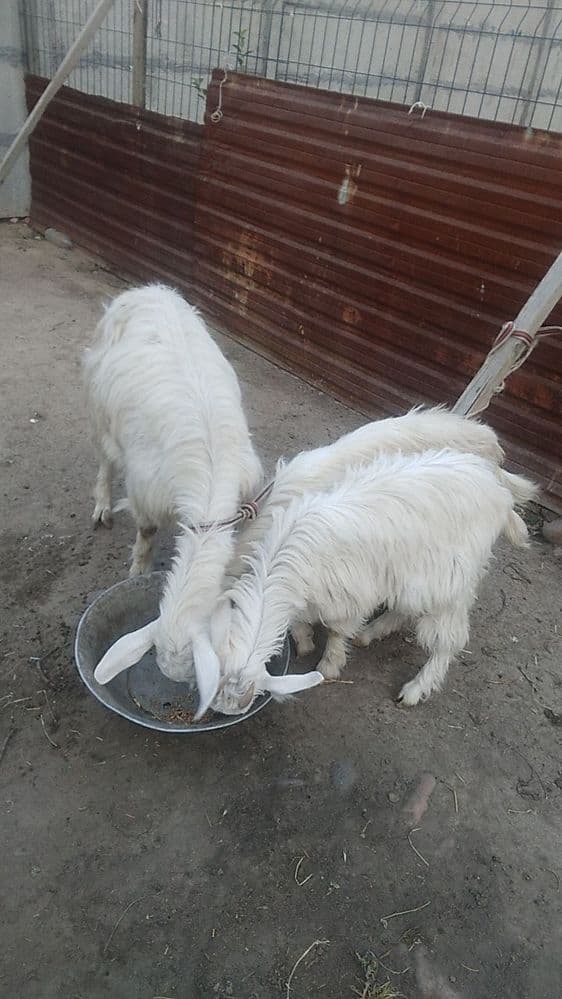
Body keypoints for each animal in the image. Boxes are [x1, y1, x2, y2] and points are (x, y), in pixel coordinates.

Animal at [83, 284, 263, 714]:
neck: (209, 481)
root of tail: (148, 289)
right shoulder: (146, 493)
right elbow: (146, 537)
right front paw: (137, 573)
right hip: (100, 410)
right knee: (104, 460)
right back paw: (101, 506)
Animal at [209, 449, 536, 715]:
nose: (213, 712)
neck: (285, 562)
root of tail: (498, 489)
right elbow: (299, 622)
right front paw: (304, 641)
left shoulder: (349, 596)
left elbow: (337, 632)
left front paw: (329, 665)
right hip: (413, 577)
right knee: (406, 608)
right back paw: (371, 633)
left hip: (451, 581)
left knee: (449, 641)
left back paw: (416, 688)